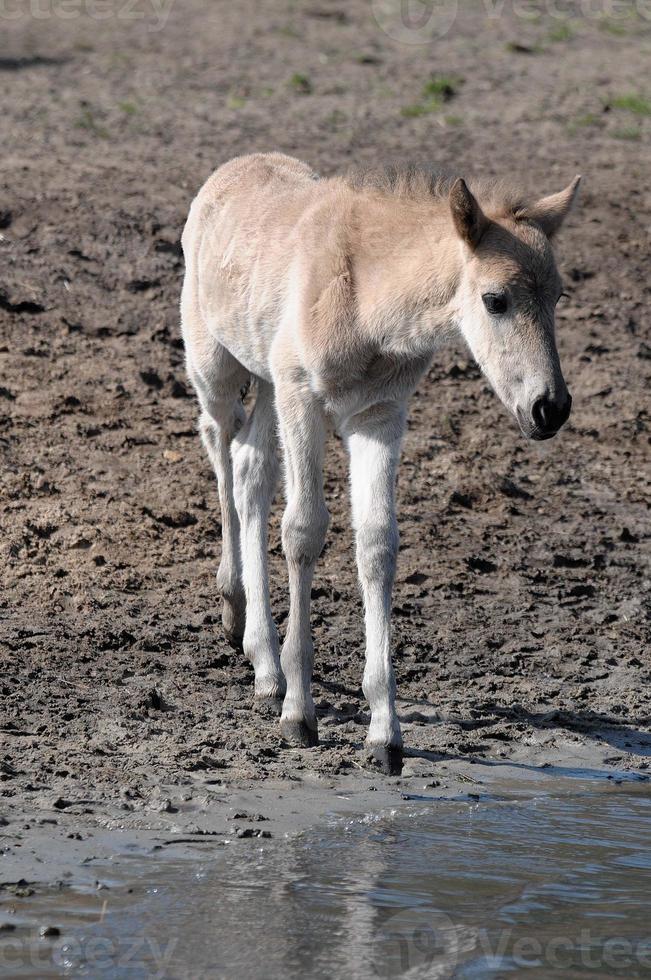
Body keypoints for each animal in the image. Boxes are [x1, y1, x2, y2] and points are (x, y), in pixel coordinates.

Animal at [182, 151, 580, 772]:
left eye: (558, 297)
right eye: (495, 300)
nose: (550, 408)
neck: (365, 304)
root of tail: (230, 171)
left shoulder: (378, 416)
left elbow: (376, 545)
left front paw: (384, 732)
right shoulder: (303, 397)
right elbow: (303, 530)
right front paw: (300, 714)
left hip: (268, 384)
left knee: (250, 468)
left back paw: (264, 663)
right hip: (218, 367)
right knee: (220, 444)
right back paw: (236, 614)